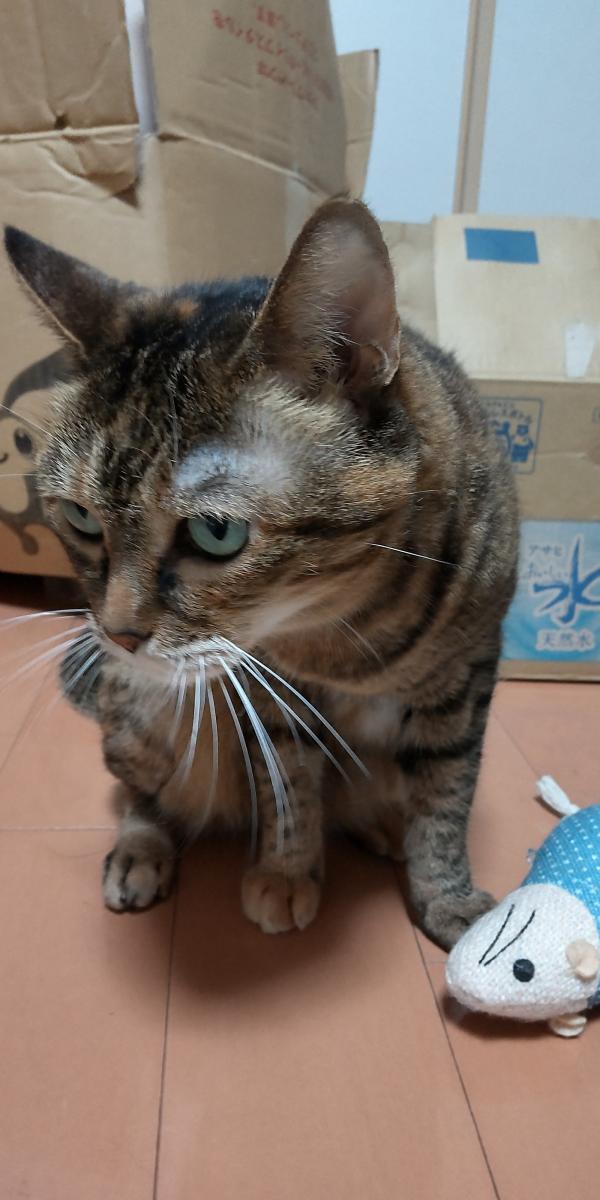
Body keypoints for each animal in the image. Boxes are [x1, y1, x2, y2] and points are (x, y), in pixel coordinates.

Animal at [4, 199, 519, 949]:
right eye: (80, 518)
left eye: (216, 532)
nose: (117, 634)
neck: (344, 628)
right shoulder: (266, 683)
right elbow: (289, 783)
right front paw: (284, 870)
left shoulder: (468, 673)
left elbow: (447, 795)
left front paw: (448, 897)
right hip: (139, 714)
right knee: (141, 794)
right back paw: (140, 852)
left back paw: (379, 824)